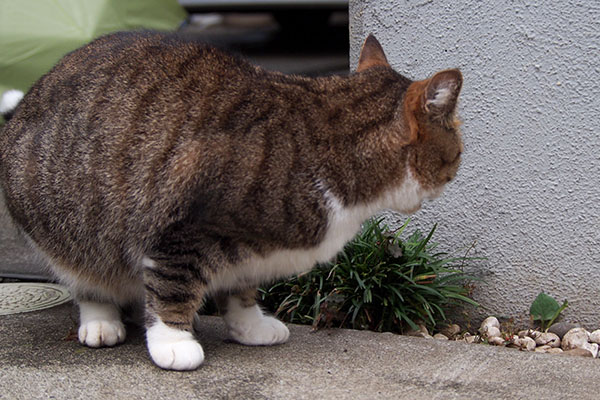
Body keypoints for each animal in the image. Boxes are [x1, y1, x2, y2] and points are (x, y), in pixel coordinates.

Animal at [0, 29, 464, 370]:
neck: (329, 144)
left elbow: (241, 289)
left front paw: (249, 326)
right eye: (458, 152)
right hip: (67, 223)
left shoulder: (249, 247)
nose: (455, 172)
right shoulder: (182, 230)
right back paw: (102, 321)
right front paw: (173, 341)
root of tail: (25, 103)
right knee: (88, 279)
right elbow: (171, 288)